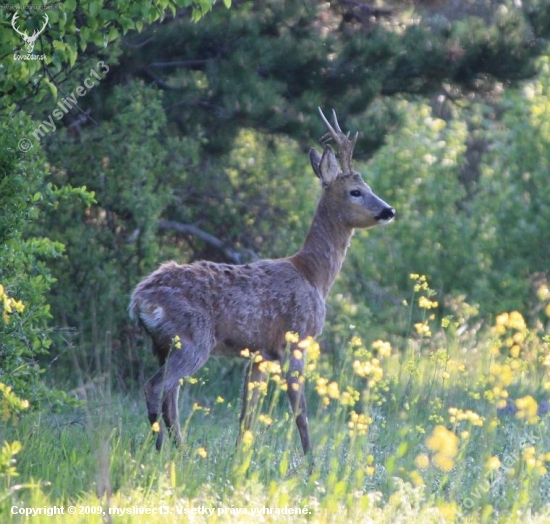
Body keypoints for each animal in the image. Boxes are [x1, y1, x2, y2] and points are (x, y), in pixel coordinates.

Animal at [130, 108, 396, 460]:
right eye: (356, 191)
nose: (388, 210)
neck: (314, 274)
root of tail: (139, 300)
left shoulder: (260, 353)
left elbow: (248, 414)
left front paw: (240, 458)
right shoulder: (297, 337)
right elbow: (300, 410)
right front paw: (310, 461)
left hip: (163, 345)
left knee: (169, 395)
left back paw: (180, 450)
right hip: (192, 339)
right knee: (156, 387)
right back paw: (162, 448)